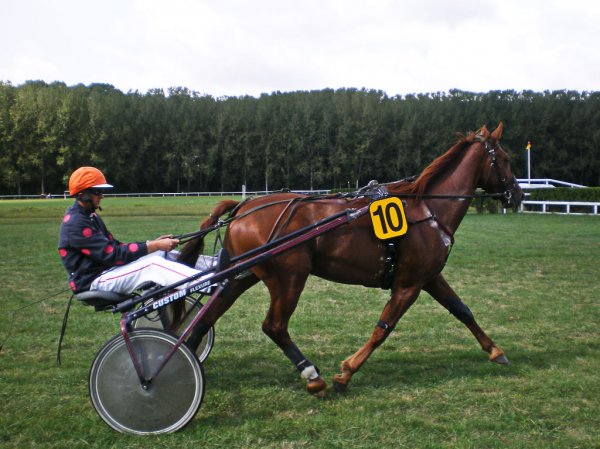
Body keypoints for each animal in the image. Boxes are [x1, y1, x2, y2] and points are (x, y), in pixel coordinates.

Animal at [177, 122, 520, 392]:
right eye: (505, 159)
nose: (517, 194)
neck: (428, 210)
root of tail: (243, 208)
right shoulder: (409, 284)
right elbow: (383, 328)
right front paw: (346, 373)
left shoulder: (429, 276)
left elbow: (462, 310)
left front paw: (495, 351)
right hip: (289, 277)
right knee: (273, 326)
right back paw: (311, 375)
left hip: (242, 275)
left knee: (205, 318)